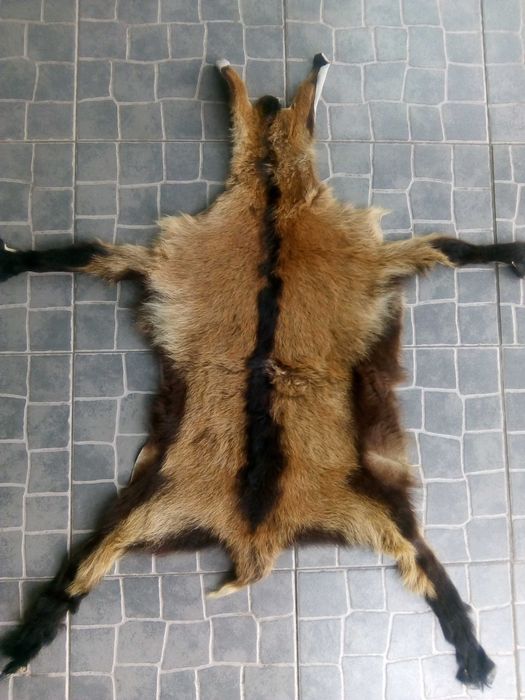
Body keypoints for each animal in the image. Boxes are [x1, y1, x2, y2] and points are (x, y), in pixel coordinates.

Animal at [0, 54, 522, 689]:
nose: (287, 82)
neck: (273, 202)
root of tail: (254, 532)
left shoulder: (373, 259)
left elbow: (452, 247)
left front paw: (512, 252)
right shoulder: (166, 261)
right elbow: (83, 254)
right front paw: (12, 262)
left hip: (352, 502)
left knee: (420, 559)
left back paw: (472, 650)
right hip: (160, 500)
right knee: (88, 562)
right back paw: (25, 641)